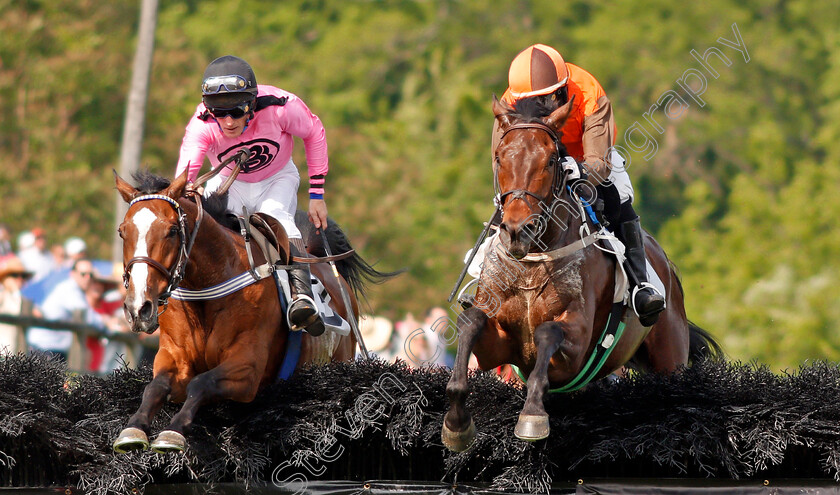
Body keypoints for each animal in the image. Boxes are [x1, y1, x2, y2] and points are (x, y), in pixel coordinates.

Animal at [112, 170, 398, 454]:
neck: (207, 288)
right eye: (122, 232)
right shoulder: (173, 354)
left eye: (172, 231)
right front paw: (133, 428)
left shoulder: (248, 367)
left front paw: (173, 431)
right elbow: (155, 387)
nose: (138, 307)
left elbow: (202, 382)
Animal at [440, 97, 720, 454]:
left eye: (549, 161)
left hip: (670, 359)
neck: (533, 259)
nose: (518, 231)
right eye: (500, 157)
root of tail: (668, 268)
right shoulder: (499, 347)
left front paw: (532, 415)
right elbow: (470, 322)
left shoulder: (573, 350)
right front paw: (457, 424)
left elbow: (547, 333)